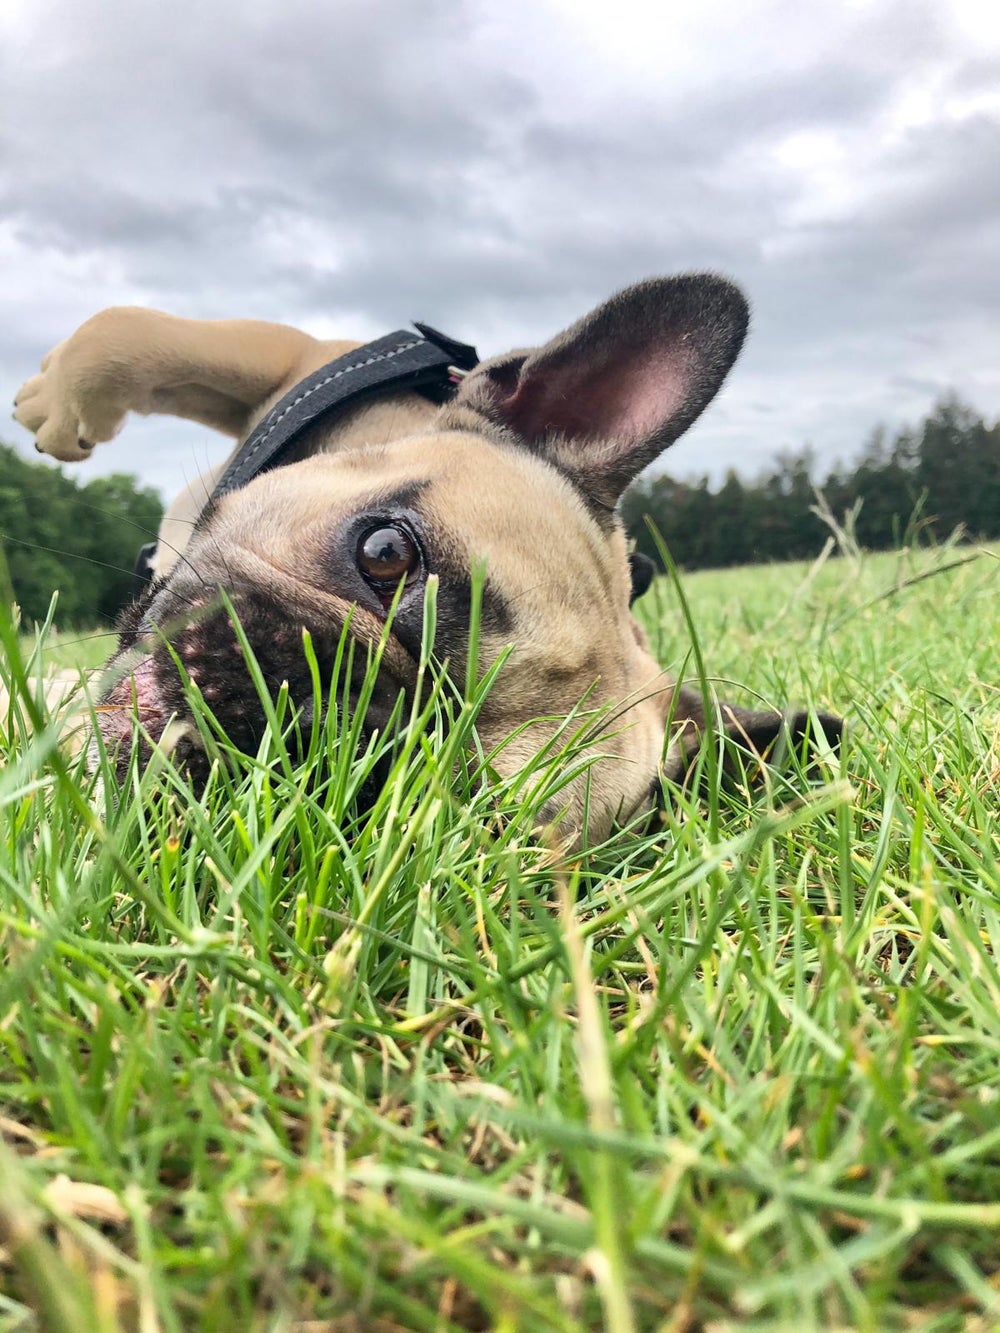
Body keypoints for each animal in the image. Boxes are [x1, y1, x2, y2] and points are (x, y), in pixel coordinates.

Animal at [13, 275, 848, 837]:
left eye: (467, 811)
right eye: (386, 552)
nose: (325, 726)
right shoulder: (296, 359)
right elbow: (132, 330)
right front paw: (62, 401)